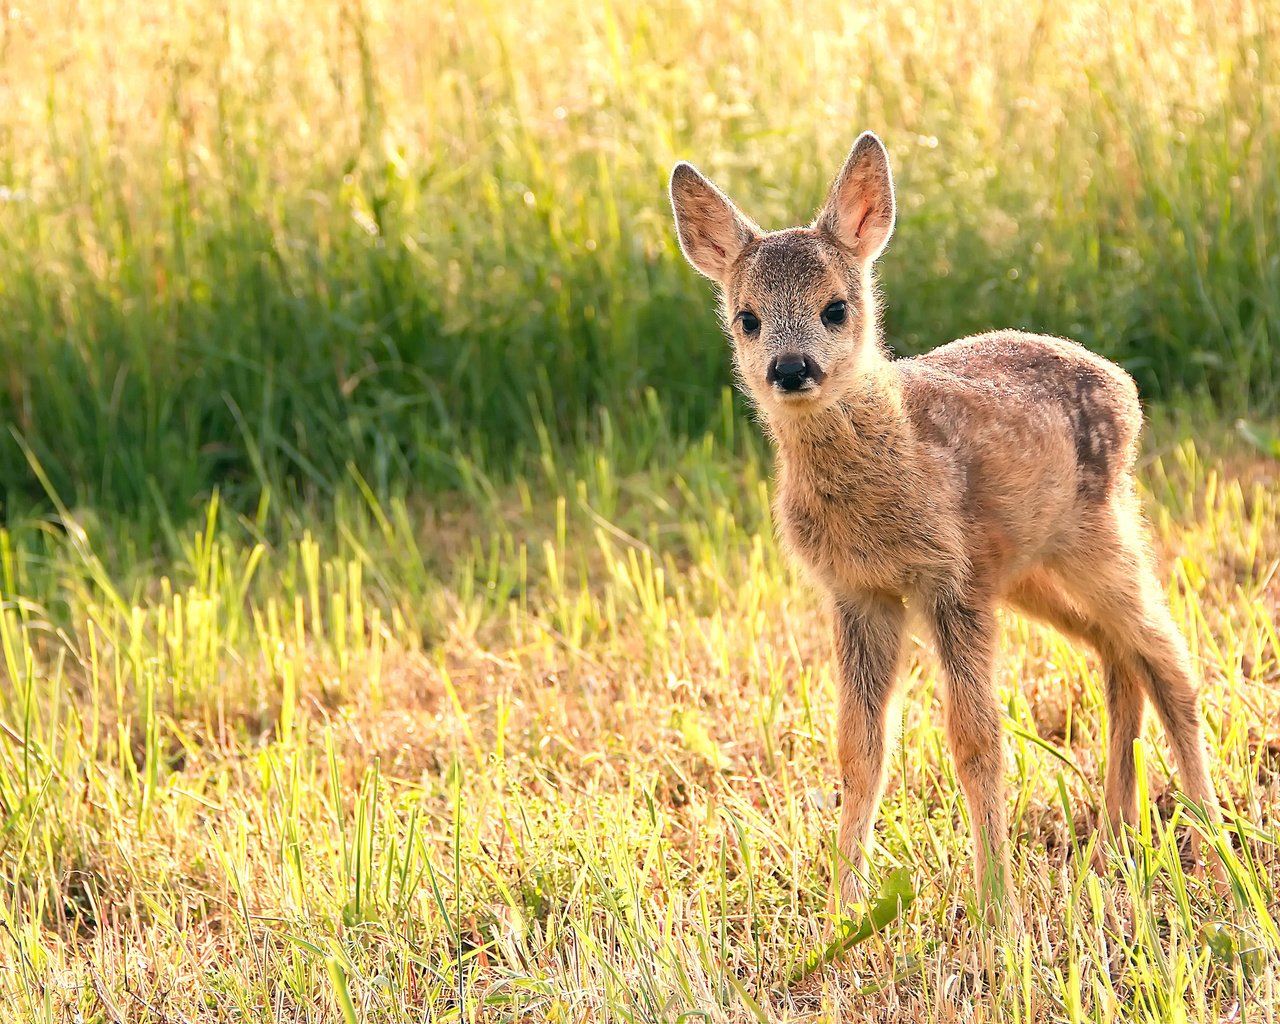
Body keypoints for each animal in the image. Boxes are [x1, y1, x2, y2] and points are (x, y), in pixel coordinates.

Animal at [665, 131, 1223, 916]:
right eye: (747, 317)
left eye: (836, 308)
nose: (791, 367)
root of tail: (1125, 386)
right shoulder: (860, 593)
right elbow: (860, 749)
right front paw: (843, 910)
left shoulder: (947, 580)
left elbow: (977, 741)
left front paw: (998, 913)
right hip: (1024, 573)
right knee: (1117, 653)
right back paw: (1115, 841)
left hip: (1097, 533)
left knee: (1170, 661)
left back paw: (1216, 850)